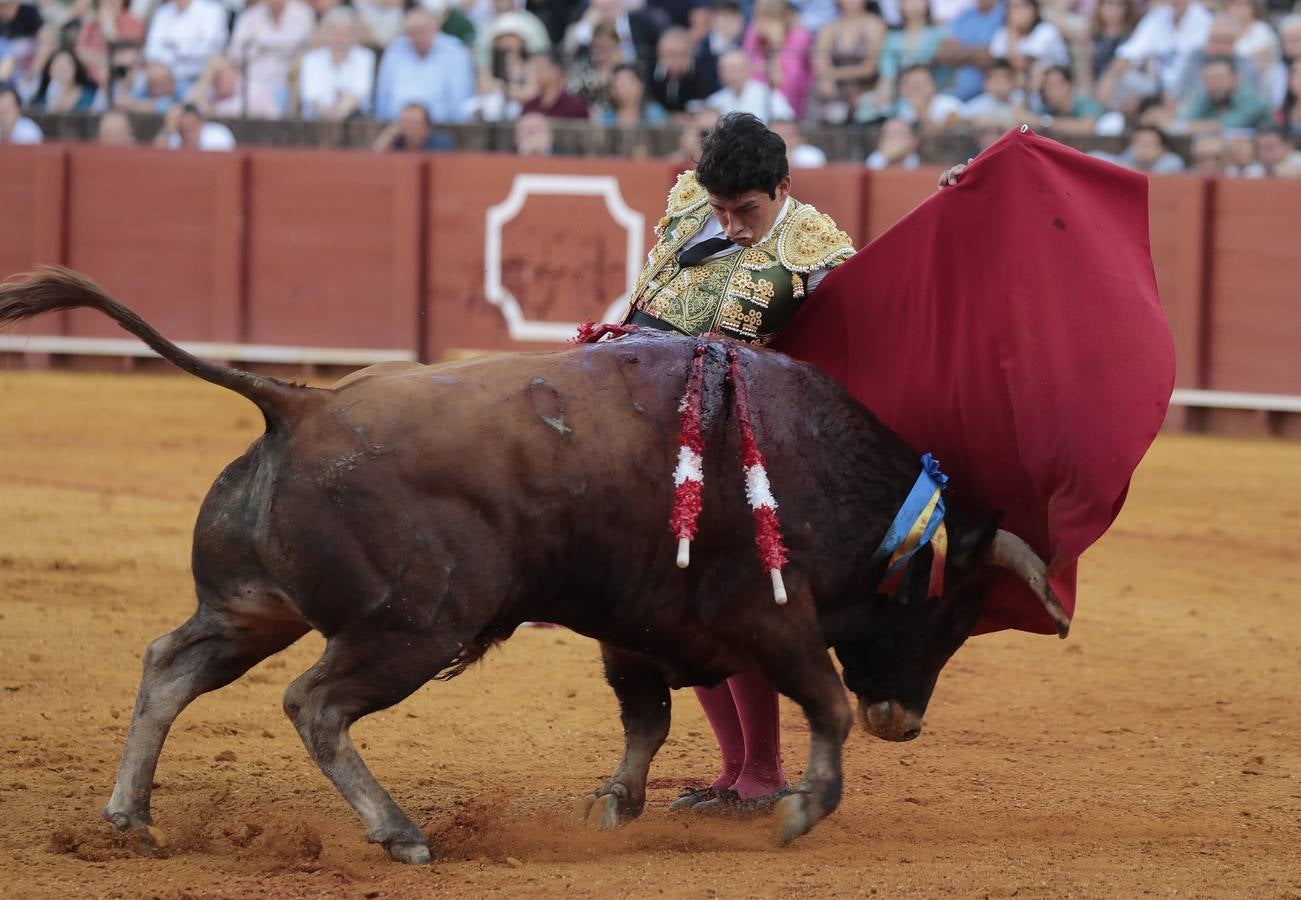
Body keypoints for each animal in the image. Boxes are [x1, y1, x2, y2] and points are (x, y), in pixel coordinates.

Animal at [0, 269, 1066, 863]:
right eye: (947, 613)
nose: (906, 722)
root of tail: (296, 403)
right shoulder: (770, 617)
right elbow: (821, 702)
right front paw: (805, 810)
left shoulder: (640, 623)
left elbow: (648, 719)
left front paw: (614, 806)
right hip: (412, 626)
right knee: (315, 705)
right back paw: (401, 833)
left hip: (251, 607)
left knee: (169, 665)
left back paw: (129, 819)